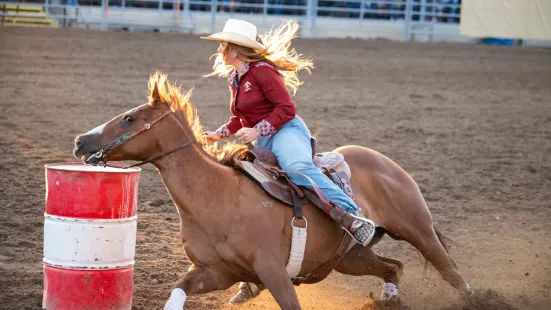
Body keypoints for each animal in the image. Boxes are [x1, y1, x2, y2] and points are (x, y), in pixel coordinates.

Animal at [71, 71, 472, 308]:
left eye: (129, 118)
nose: (79, 141)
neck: (216, 197)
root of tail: (385, 162)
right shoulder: (214, 271)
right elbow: (178, 290)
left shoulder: (274, 271)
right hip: (350, 258)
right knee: (393, 267)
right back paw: (388, 298)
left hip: (417, 229)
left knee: (449, 270)